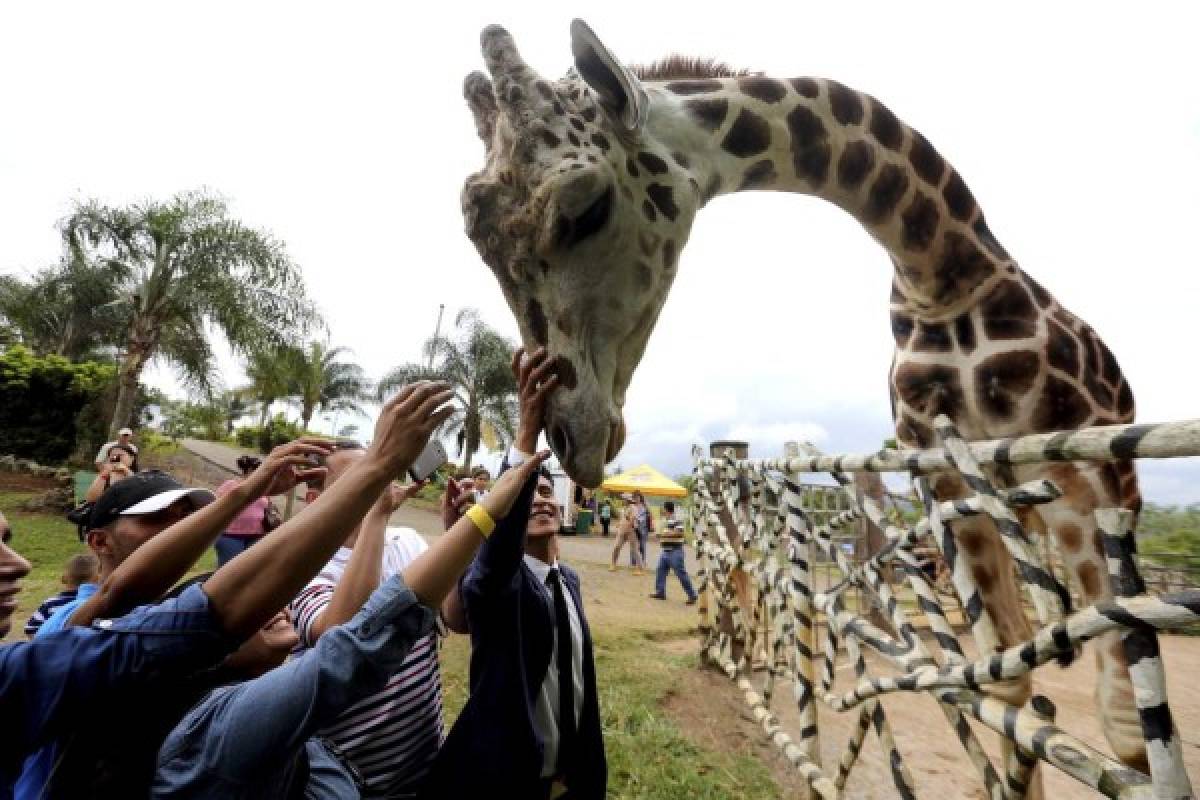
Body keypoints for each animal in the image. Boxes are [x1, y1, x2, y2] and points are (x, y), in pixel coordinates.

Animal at [456, 18, 1142, 786]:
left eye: (587, 207)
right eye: (479, 239)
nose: (574, 436)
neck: (940, 271)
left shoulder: (1082, 461)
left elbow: (1123, 731)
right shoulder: (942, 471)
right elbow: (1009, 684)